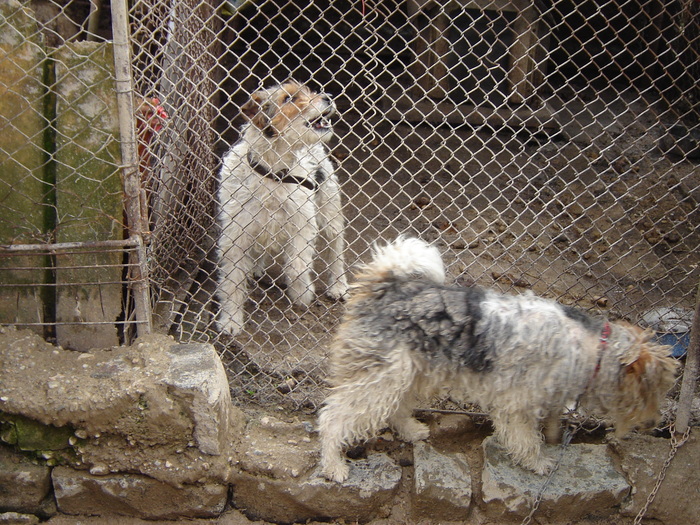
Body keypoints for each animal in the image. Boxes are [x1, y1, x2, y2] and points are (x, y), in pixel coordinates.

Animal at [217, 82, 348, 336]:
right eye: (288, 98)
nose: (329, 96)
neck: (272, 172)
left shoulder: (303, 225)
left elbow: (297, 266)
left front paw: (303, 292)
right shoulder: (237, 237)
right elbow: (232, 282)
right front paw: (231, 321)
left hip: (330, 216)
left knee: (336, 252)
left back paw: (338, 286)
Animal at [318, 235, 680, 482]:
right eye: (653, 389)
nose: (655, 425)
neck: (592, 349)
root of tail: (384, 287)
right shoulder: (516, 404)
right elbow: (526, 440)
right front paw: (538, 464)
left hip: (405, 374)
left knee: (395, 409)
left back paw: (411, 430)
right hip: (379, 378)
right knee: (333, 419)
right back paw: (333, 464)